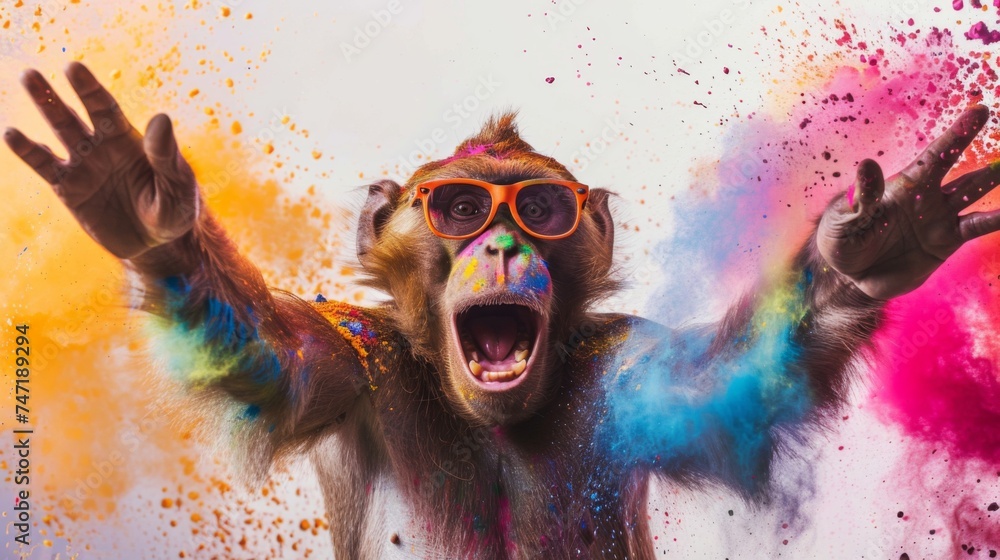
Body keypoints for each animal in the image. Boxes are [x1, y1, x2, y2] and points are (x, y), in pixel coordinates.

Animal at [5, 62, 1000, 559]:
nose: (504, 245)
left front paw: (859, 256)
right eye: (459, 208)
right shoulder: (347, 358)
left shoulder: (626, 368)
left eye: (541, 209)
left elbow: (730, 388)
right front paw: (149, 216)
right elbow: (266, 353)